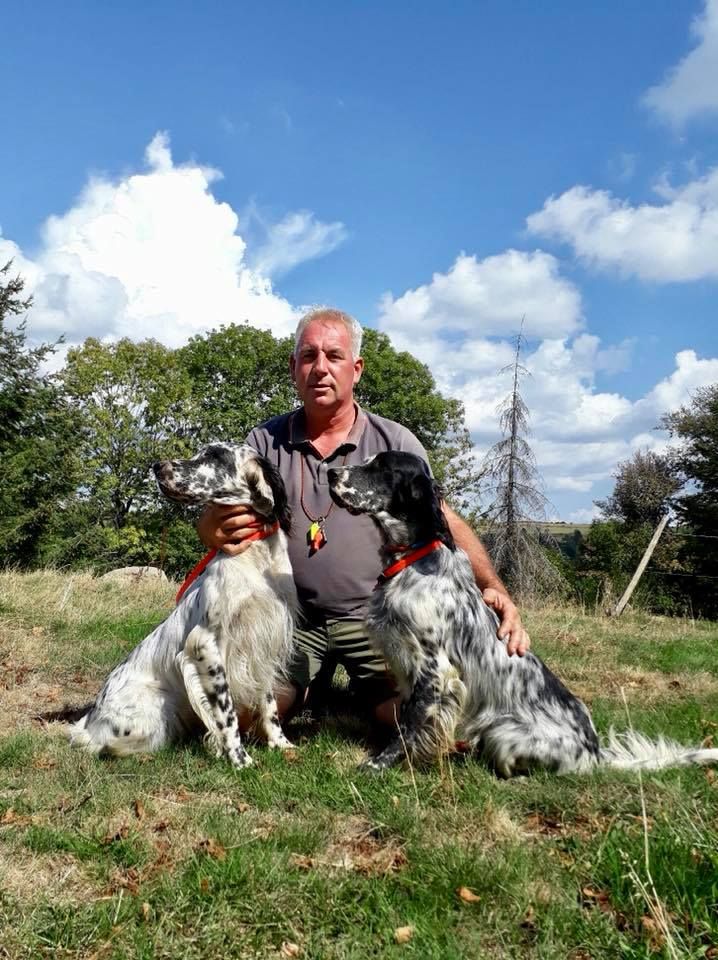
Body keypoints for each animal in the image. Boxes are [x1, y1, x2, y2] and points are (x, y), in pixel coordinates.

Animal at [69, 444, 298, 772]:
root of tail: (88, 722)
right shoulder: (206, 646)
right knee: (102, 745)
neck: (256, 555)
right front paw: (239, 759)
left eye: (215, 455)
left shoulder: (264, 640)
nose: (156, 466)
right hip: (152, 713)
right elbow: (226, 714)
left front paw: (280, 744)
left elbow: (269, 703)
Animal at [330, 454, 718, 776]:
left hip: (504, 732)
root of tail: (595, 752)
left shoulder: (435, 669)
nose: (331, 472)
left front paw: (378, 765)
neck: (413, 558)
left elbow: (409, 728)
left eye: (382, 467)